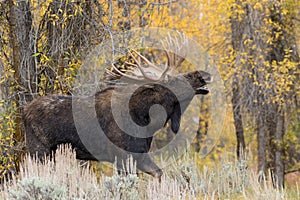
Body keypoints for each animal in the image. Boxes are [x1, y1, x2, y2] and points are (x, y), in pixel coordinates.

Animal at [23, 35, 212, 179]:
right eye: (173, 80)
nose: (204, 74)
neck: (147, 121)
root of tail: (24, 112)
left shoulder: (139, 156)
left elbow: (159, 174)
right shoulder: (122, 156)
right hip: (39, 149)